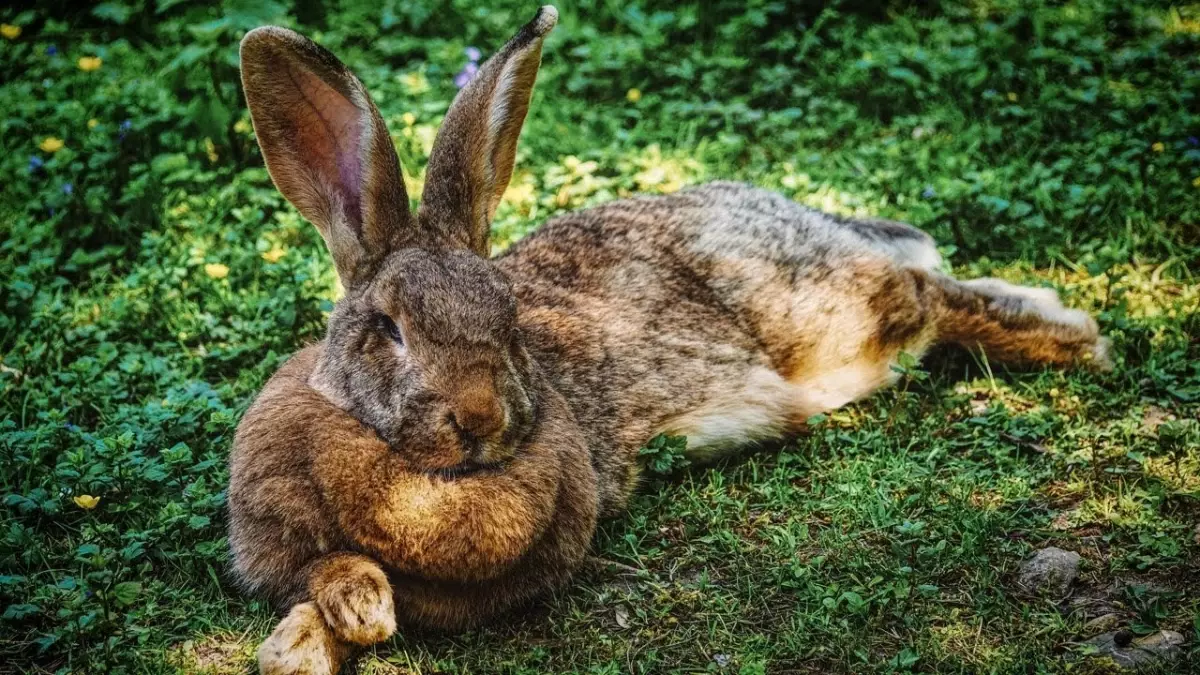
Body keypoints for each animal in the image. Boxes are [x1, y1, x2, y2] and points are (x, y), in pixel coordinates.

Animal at [229, 6, 1108, 672]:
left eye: (509, 320)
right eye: (389, 329)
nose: (480, 418)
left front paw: (335, 624)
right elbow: (320, 579)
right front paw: (321, 632)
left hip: (826, 313)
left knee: (927, 297)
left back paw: (1072, 336)